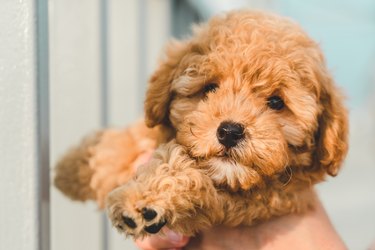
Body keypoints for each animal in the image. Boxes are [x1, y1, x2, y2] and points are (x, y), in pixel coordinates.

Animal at [54, 9, 348, 240]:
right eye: (210, 88)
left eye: (276, 102)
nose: (230, 132)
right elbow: (133, 137)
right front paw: (76, 167)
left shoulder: (262, 199)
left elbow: (186, 174)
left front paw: (145, 200)